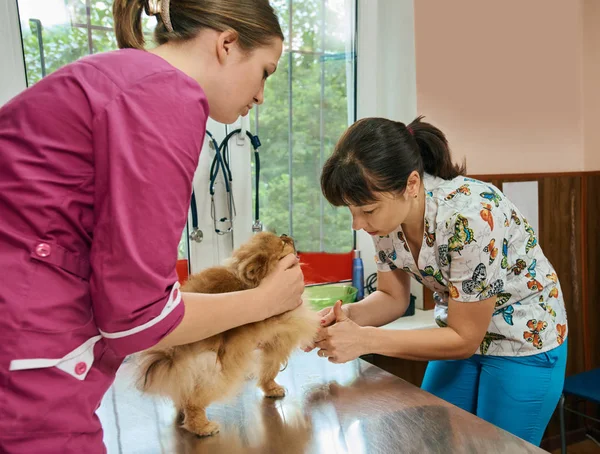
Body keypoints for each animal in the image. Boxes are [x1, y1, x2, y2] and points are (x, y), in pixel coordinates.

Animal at [132, 234, 318, 436]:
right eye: (283, 243)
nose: (288, 236)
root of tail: (173, 352)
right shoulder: (281, 336)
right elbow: (271, 366)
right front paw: (272, 387)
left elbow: (267, 368)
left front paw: (271, 388)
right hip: (216, 367)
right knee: (194, 401)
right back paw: (203, 427)